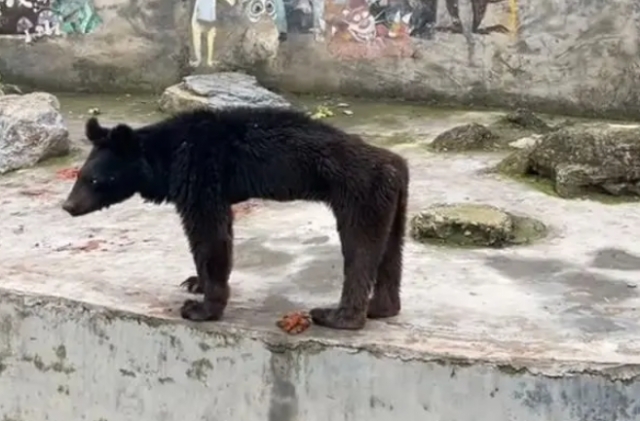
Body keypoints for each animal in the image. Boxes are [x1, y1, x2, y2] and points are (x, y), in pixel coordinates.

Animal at [61, 106, 410, 330]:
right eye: (80, 175)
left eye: (95, 180)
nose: (68, 206)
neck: (165, 158)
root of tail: (395, 165)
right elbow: (213, 234)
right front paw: (194, 282)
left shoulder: (199, 172)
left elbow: (209, 233)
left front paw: (201, 308)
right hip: (394, 204)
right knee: (390, 251)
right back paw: (382, 307)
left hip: (359, 193)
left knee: (359, 250)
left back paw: (339, 316)